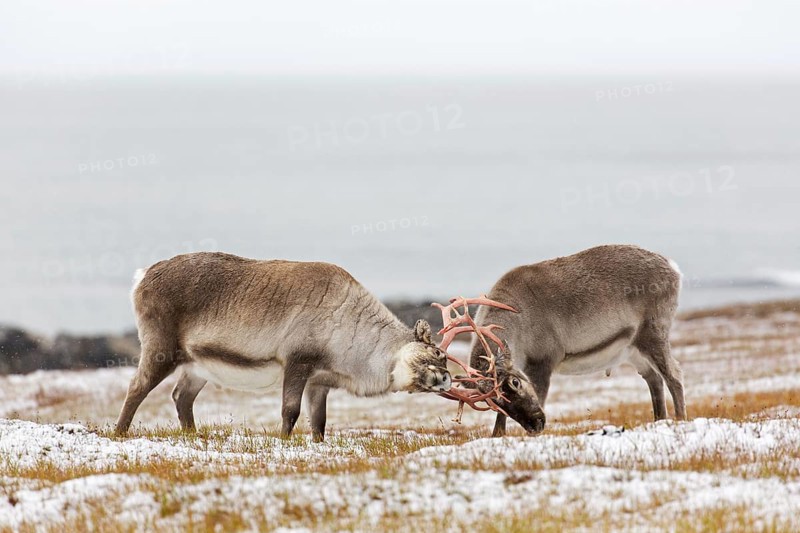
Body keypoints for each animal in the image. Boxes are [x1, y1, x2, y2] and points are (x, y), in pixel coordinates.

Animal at [114, 252, 452, 442]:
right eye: (437, 353)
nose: (445, 378)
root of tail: (142, 276)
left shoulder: (320, 381)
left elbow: (319, 421)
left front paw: (317, 445)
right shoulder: (297, 361)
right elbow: (290, 410)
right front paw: (285, 442)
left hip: (198, 366)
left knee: (181, 396)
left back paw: (192, 435)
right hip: (161, 348)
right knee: (137, 387)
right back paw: (119, 432)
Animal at [466, 244, 686, 437]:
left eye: (515, 382)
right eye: (494, 400)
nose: (535, 424)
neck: (516, 317)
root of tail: (672, 268)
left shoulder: (543, 362)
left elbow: (540, 396)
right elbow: (500, 418)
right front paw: (497, 435)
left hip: (653, 334)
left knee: (673, 374)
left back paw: (680, 419)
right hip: (632, 350)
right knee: (654, 379)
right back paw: (659, 420)